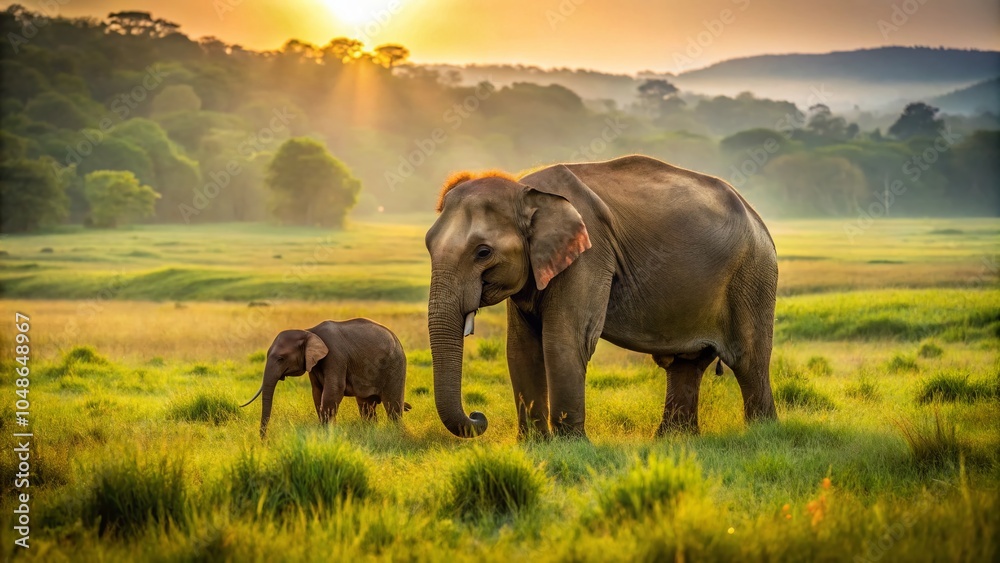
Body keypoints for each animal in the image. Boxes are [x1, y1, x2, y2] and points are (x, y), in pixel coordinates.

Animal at [241, 319, 410, 438]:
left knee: (393, 407)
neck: (309, 331)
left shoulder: (336, 355)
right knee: (366, 406)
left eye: (281, 359)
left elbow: (333, 390)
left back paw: (395, 433)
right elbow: (317, 392)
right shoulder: (313, 363)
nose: (263, 441)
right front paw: (327, 431)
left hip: (395, 367)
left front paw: (326, 433)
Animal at [425, 155, 778, 439]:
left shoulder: (590, 253)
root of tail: (756, 215)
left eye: (483, 252)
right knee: (684, 364)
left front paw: (570, 446)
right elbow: (521, 349)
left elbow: (565, 339)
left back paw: (761, 434)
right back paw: (673, 440)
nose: (478, 417)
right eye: (428, 244)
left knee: (748, 359)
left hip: (753, 276)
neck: (525, 189)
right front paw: (533, 446)